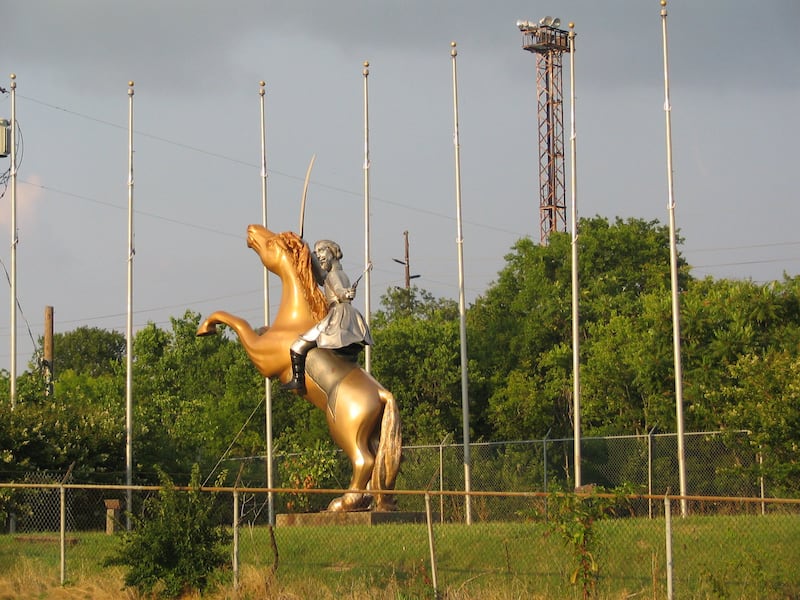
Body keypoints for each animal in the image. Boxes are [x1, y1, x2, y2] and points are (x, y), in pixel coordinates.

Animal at [198, 223, 404, 512]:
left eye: (271, 243)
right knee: (377, 465)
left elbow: (239, 323)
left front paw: (206, 327)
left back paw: (343, 503)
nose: (252, 229)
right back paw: (371, 502)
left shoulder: (262, 358)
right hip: (372, 432)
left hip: (344, 429)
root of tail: (381, 393)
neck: (294, 318)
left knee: (364, 461)